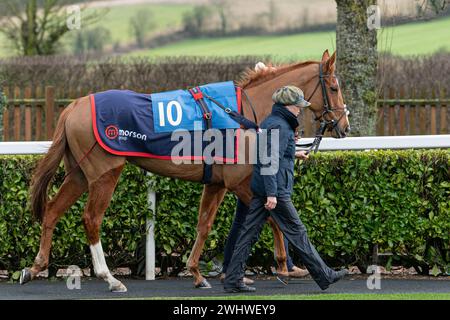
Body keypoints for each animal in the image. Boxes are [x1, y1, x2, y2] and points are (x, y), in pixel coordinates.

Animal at [20, 50, 352, 292]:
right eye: (334, 87)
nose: (345, 126)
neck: (244, 114)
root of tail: (73, 106)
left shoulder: (218, 183)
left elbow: (205, 224)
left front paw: (198, 273)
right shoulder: (240, 183)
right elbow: (273, 217)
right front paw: (285, 265)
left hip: (78, 173)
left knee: (52, 210)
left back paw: (35, 266)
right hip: (105, 173)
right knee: (91, 218)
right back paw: (110, 278)